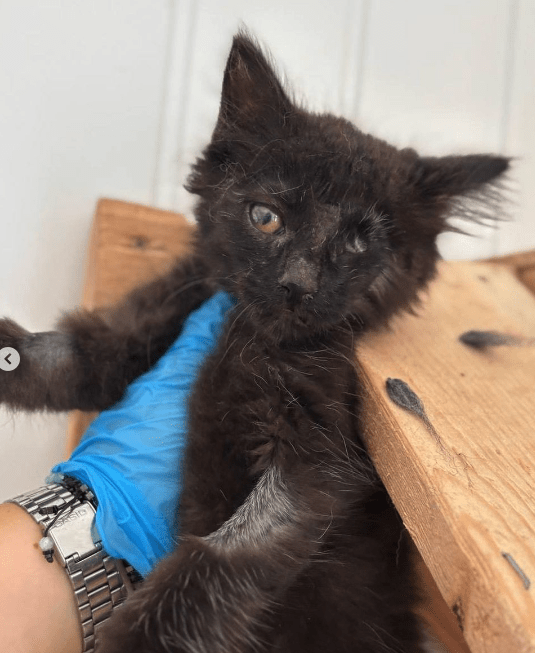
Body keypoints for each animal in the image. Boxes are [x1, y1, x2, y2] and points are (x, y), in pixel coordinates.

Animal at [1, 31, 510, 652]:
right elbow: (67, 358)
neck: (249, 336)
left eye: (358, 244)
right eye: (266, 217)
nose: (298, 283)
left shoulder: (319, 454)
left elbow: (221, 556)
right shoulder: (154, 322)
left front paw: (141, 637)